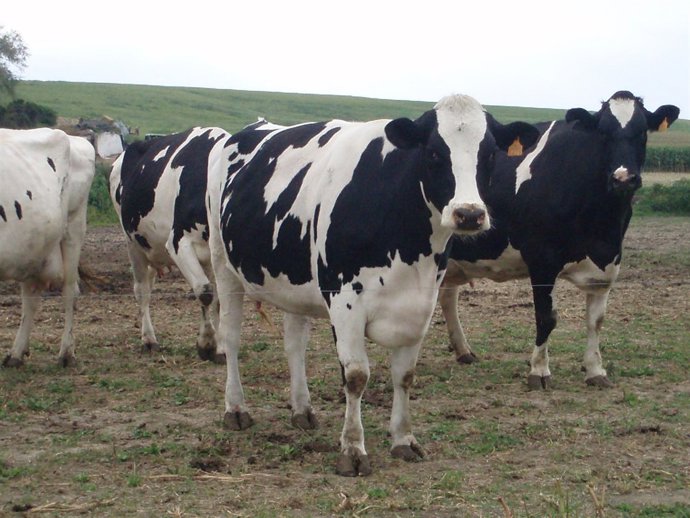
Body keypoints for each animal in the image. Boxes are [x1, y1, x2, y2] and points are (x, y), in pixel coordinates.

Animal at [1, 128, 95, 367]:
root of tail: (75, 139)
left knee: (70, 290)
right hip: (32, 247)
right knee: (30, 297)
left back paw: (66, 353)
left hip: (73, 228)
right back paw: (16, 353)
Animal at [109, 127, 230, 362]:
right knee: (141, 290)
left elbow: (219, 299)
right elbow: (205, 292)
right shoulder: (178, 243)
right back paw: (148, 339)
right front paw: (206, 344)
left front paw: (220, 348)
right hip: (133, 243)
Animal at [206, 95, 540, 476]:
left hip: (294, 280)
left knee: (295, 345)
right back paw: (236, 409)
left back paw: (302, 410)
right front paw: (352, 449)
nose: (469, 214)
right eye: (434, 153)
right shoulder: (345, 302)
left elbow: (405, 375)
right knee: (232, 337)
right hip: (223, 265)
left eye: (490, 154)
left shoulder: (420, 305)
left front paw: (404, 439)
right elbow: (355, 376)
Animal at [439, 91, 680, 389]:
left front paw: (595, 370)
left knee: (447, 296)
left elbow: (595, 321)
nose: (623, 178)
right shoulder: (542, 259)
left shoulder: (607, 264)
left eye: (642, 132)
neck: (602, 225)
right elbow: (546, 317)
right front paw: (539, 371)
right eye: (603, 133)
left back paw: (463, 351)